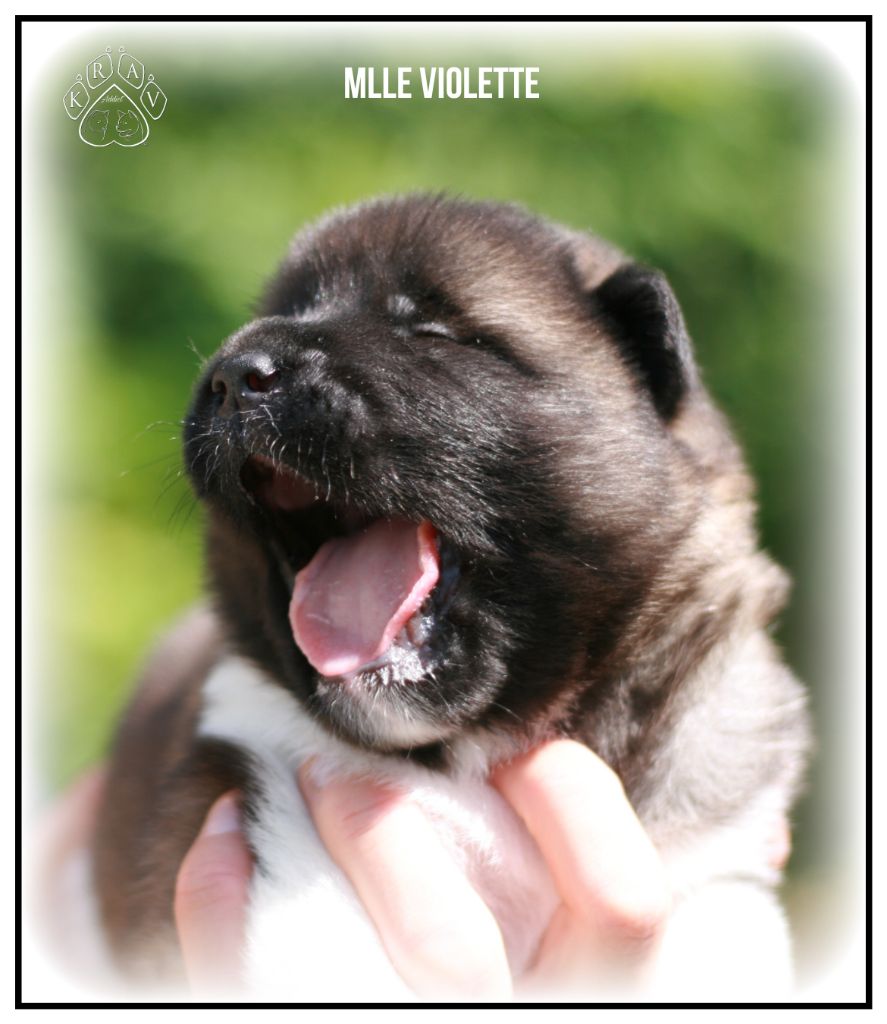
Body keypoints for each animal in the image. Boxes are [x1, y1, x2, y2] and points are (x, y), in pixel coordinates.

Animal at [92, 195, 810, 1000]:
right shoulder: (262, 780)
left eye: (430, 331)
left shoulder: (716, 863)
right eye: (282, 311)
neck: (472, 751)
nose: (234, 372)